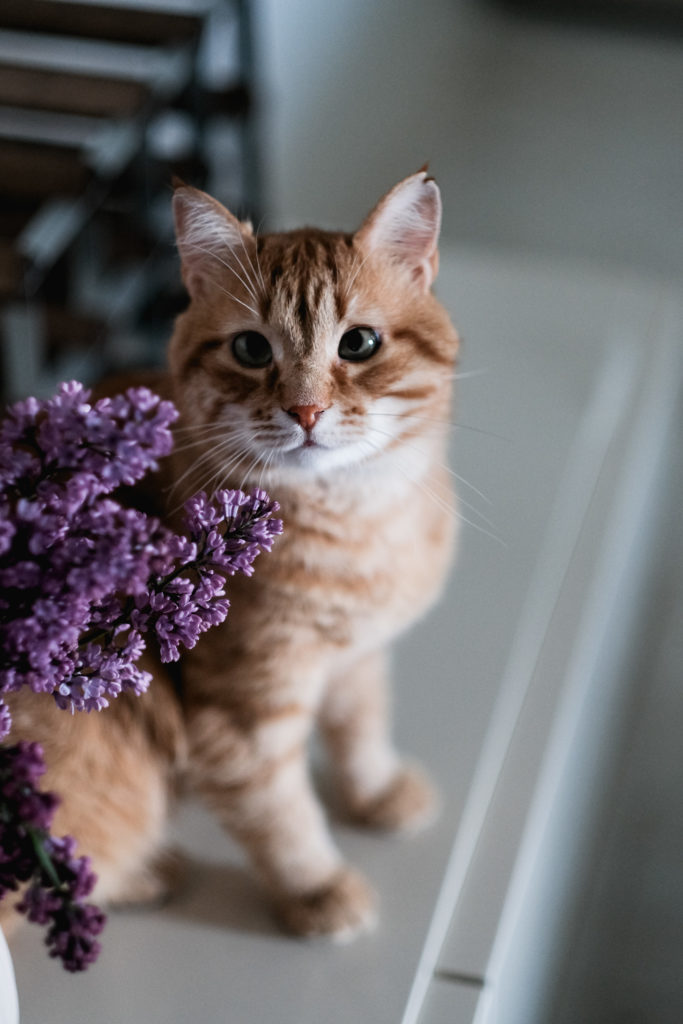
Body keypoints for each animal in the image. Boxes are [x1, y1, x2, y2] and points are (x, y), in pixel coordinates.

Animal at [2, 169, 458, 942]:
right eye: (250, 350)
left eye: (359, 343)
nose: (306, 411)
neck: (356, 525)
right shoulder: (242, 720)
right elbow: (281, 813)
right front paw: (318, 890)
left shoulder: (358, 658)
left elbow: (361, 729)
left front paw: (374, 793)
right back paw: (144, 874)